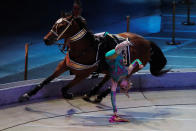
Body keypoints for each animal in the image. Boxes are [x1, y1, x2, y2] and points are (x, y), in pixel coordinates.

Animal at [18, 12, 168, 102]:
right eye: (55, 23)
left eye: (62, 26)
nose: (46, 39)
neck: (84, 48)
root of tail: (147, 42)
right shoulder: (63, 65)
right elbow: (46, 80)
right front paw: (27, 94)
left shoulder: (83, 73)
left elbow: (65, 88)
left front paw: (68, 94)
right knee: (108, 77)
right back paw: (91, 93)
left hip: (131, 68)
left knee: (116, 81)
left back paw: (99, 95)